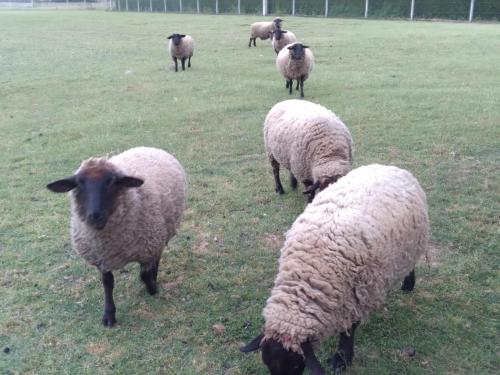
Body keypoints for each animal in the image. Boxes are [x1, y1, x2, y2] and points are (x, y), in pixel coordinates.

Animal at [46, 145, 188, 328]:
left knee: (156, 259)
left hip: (160, 233)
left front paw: (152, 287)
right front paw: (109, 315)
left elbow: (145, 274)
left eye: (111, 181)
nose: (95, 216)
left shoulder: (148, 246)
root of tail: (148, 147)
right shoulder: (102, 257)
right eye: (79, 183)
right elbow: (107, 283)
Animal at [240, 164, 428, 375]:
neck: (309, 273)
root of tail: (391, 167)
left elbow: (349, 329)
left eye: (296, 364)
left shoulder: (356, 293)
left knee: (411, 264)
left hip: (412, 244)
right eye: (267, 364)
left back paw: (408, 284)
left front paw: (342, 358)